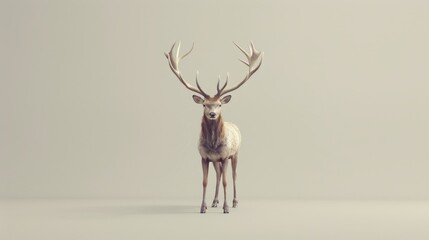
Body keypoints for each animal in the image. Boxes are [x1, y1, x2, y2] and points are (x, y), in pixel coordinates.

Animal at [166, 41, 262, 214]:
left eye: (219, 105)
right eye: (204, 104)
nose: (212, 114)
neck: (212, 144)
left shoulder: (224, 156)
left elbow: (226, 181)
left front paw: (226, 208)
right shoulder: (204, 157)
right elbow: (204, 181)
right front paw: (203, 207)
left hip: (235, 154)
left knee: (233, 175)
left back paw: (234, 202)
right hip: (216, 161)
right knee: (218, 175)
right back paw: (215, 201)